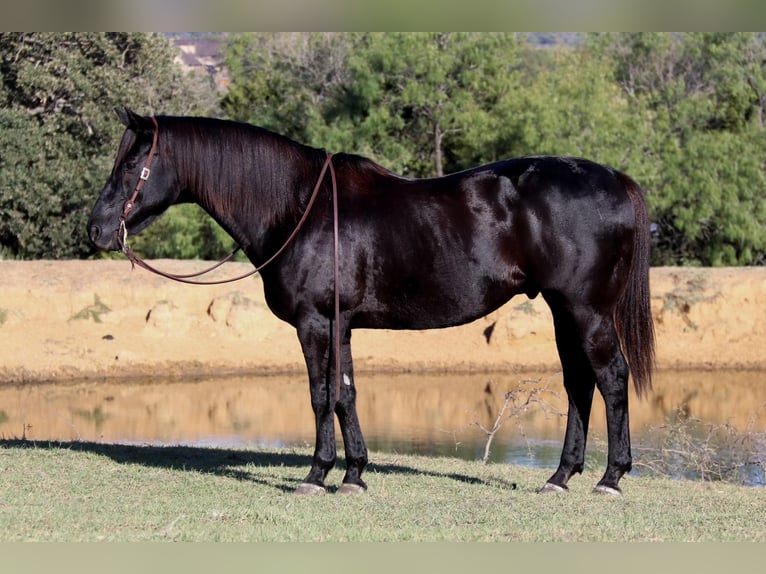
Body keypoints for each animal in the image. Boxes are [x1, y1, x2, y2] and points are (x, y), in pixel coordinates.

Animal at [88, 110, 656, 498]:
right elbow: (346, 394)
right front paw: (354, 475)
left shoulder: (315, 324)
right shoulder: (340, 325)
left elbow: (320, 396)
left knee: (612, 380)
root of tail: (615, 180)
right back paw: (560, 477)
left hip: (586, 312)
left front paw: (317, 474)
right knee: (579, 384)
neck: (300, 207)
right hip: (564, 312)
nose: (96, 229)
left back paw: (610, 478)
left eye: (134, 161)